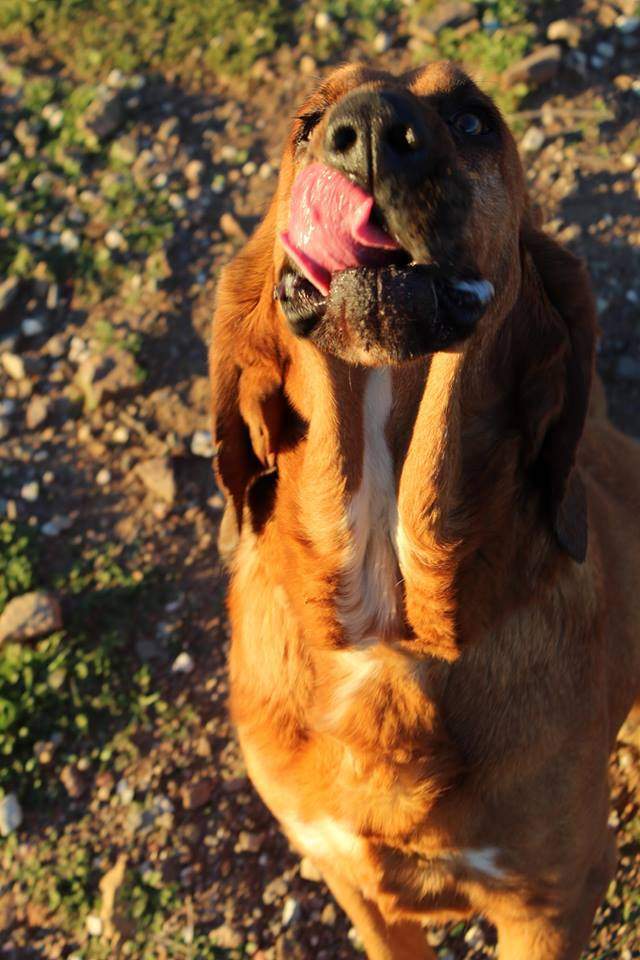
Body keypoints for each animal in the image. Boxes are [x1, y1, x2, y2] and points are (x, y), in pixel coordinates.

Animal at [209, 63, 640, 956]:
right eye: (307, 121)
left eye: (475, 120)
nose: (373, 127)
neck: (387, 625)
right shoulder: (356, 884)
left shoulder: (551, 899)